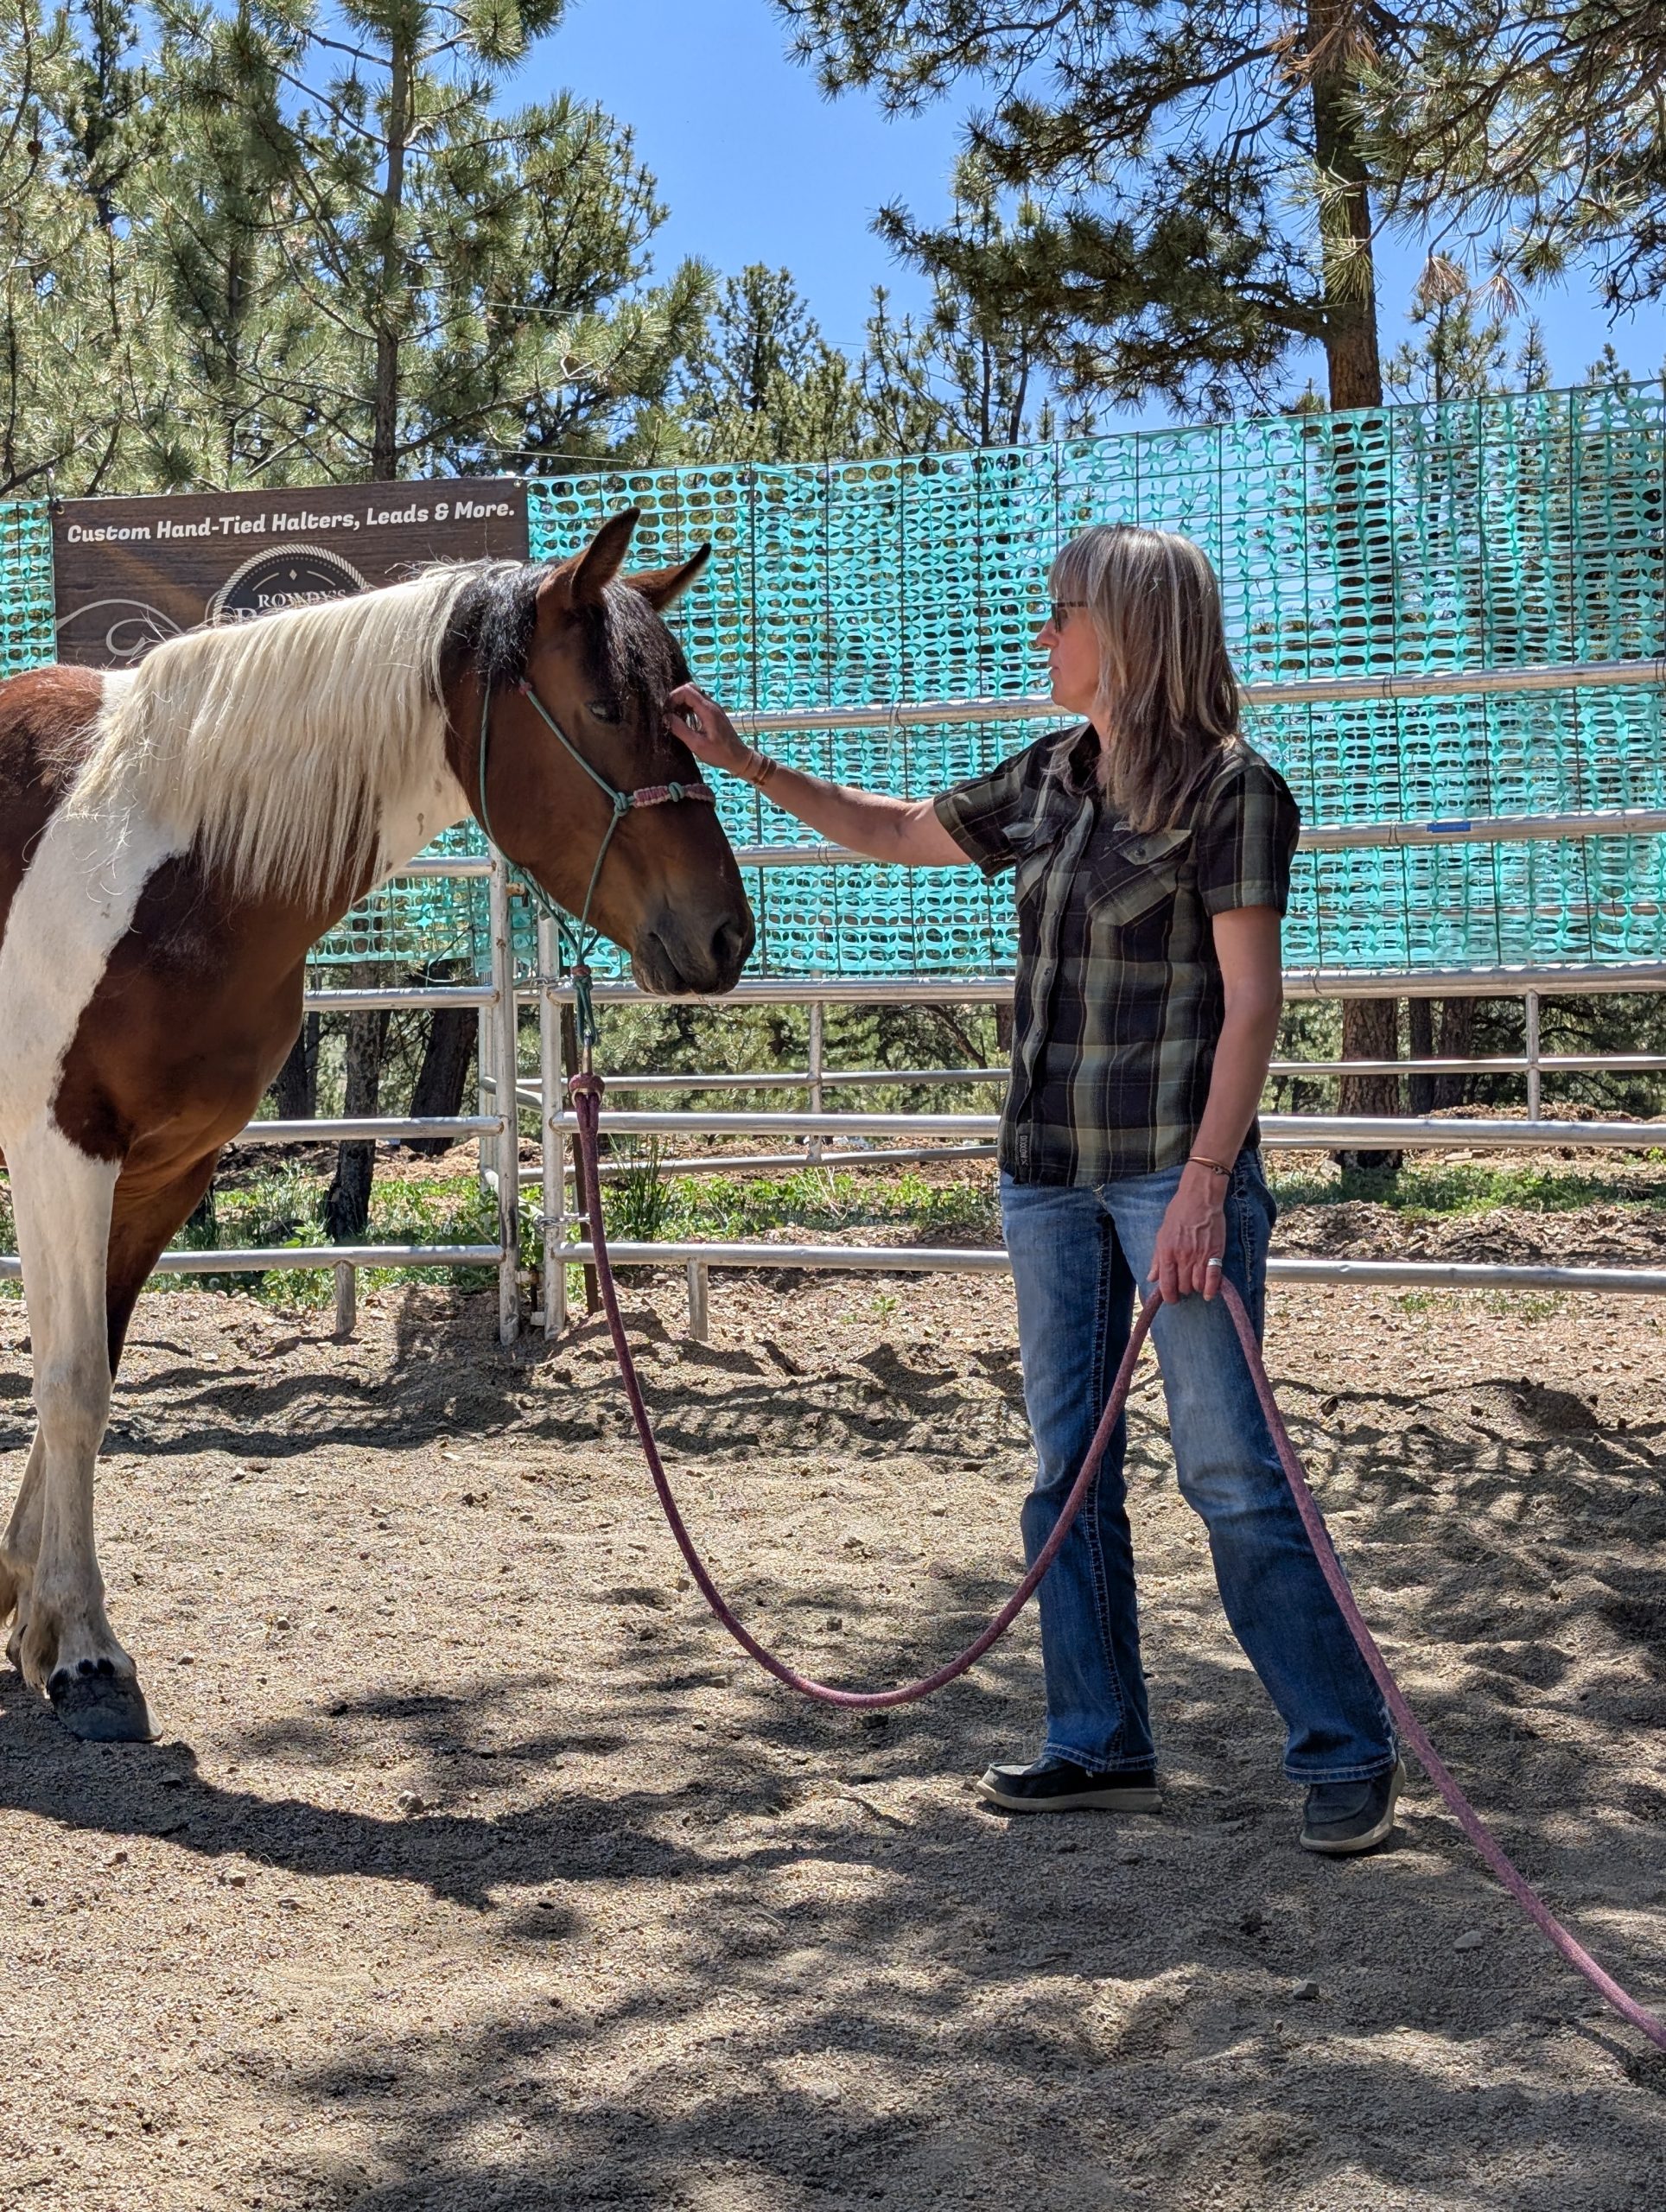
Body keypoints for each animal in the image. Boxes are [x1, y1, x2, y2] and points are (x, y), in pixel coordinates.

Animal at [0, 505, 754, 1743]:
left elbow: (94, 1369)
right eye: (607, 707)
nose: (725, 935)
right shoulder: (64, 1147)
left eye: (685, 708)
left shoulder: (164, 1167)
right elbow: (70, 1385)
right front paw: (88, 1653)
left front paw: (32, 1619)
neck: (162, 850)